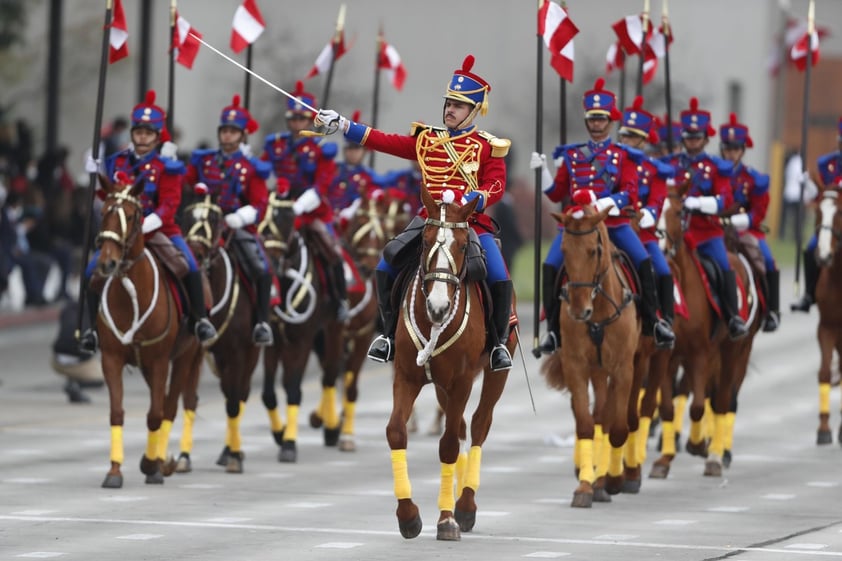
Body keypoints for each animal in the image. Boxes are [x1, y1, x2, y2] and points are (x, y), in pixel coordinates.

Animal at [94, 173, 203, 488]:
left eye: (131, 216)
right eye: (103, 213)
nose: (108, 262)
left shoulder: (159, 360)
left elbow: (156, 414)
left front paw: (152, 465)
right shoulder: (112, 358)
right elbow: (116, 412)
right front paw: (114, 471)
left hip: (185, 355)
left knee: (170, 405)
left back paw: (160, 461)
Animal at [260, 192, 344, 464]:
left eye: (288, 218)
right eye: (262, 214)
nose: (272, 260)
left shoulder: (302, 340)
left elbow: (294, 389)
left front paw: (289, 444)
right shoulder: (274, 341)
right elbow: (269, 393)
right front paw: (280, 433)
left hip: (332, 329)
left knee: (330, 374)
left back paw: (332, 428)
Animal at [386, 189, 516, 544]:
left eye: (461, 244)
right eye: (425, 240)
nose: (439, 306)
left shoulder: (462, 381)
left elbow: (447, 446)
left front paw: (446, 519)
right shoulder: (406, 375)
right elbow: (397, 431)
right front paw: (407, 516)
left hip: (494, 374)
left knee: (479, 425)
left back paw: (466, 505)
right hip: (442, 386)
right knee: (459, 427)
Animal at [540, 202, 636, 508]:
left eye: (593, 251)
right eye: (565, 250)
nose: (578, 311)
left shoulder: (623, 367)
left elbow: (616, 428)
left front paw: (613, 479)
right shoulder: (577, 365)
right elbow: (585, 423)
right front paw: (584, 486)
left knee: (616, 418)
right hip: (596, 369)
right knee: (598, 416)